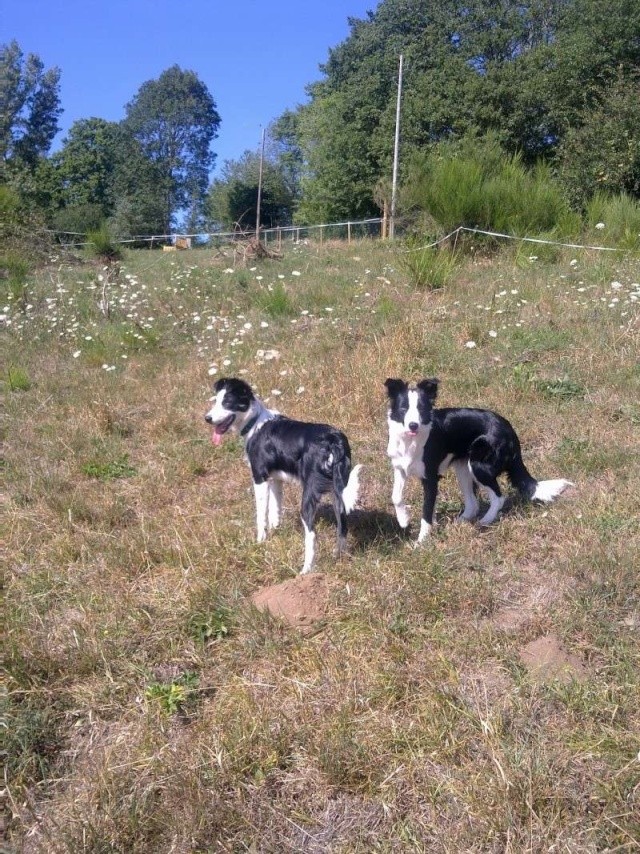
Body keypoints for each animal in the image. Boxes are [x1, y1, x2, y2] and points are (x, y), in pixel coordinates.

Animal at [208, 380, 362, 576]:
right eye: (216, 401)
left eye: (227, 403)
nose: (207, 418)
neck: (254, 422)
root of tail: (333, 440)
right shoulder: (275, 480)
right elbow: (275, 510)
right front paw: (276, 532)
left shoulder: (260, 478)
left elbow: (261, 515)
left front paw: (260, 541)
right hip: (338, 494)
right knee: (343, 527)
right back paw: (338, 558)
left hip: (309, 495)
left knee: (312, 534)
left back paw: (305, 571)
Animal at [384, 380, 576, 544]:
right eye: (403, 409)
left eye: (421, 409)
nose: (413, 425)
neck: (410, 441)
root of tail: (510, 429)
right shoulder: (400, 468)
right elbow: (396, 496)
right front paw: (404, 520)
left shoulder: (430, 477)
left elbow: (426, 511)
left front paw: (421, 542)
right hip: (463, 468)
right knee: (473, 503)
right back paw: (462, 521)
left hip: (478, 466)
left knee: (498, 497)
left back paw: (485, 521)